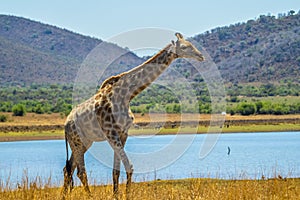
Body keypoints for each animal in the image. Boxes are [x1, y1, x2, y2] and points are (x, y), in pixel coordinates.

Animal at [62, 32, 205, 198]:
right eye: (184, 47)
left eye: (191, 44)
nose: (201, 56)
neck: (126, 95)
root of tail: (66, 124)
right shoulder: (110, 133)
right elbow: (129, 166)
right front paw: (126, 195)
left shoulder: (123, 133)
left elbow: (116, 171)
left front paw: (117, 195)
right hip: (77, 140)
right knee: (80, 171)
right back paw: (89, 196)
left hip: (85, 141)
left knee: (69, 168)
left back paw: (64, 196)